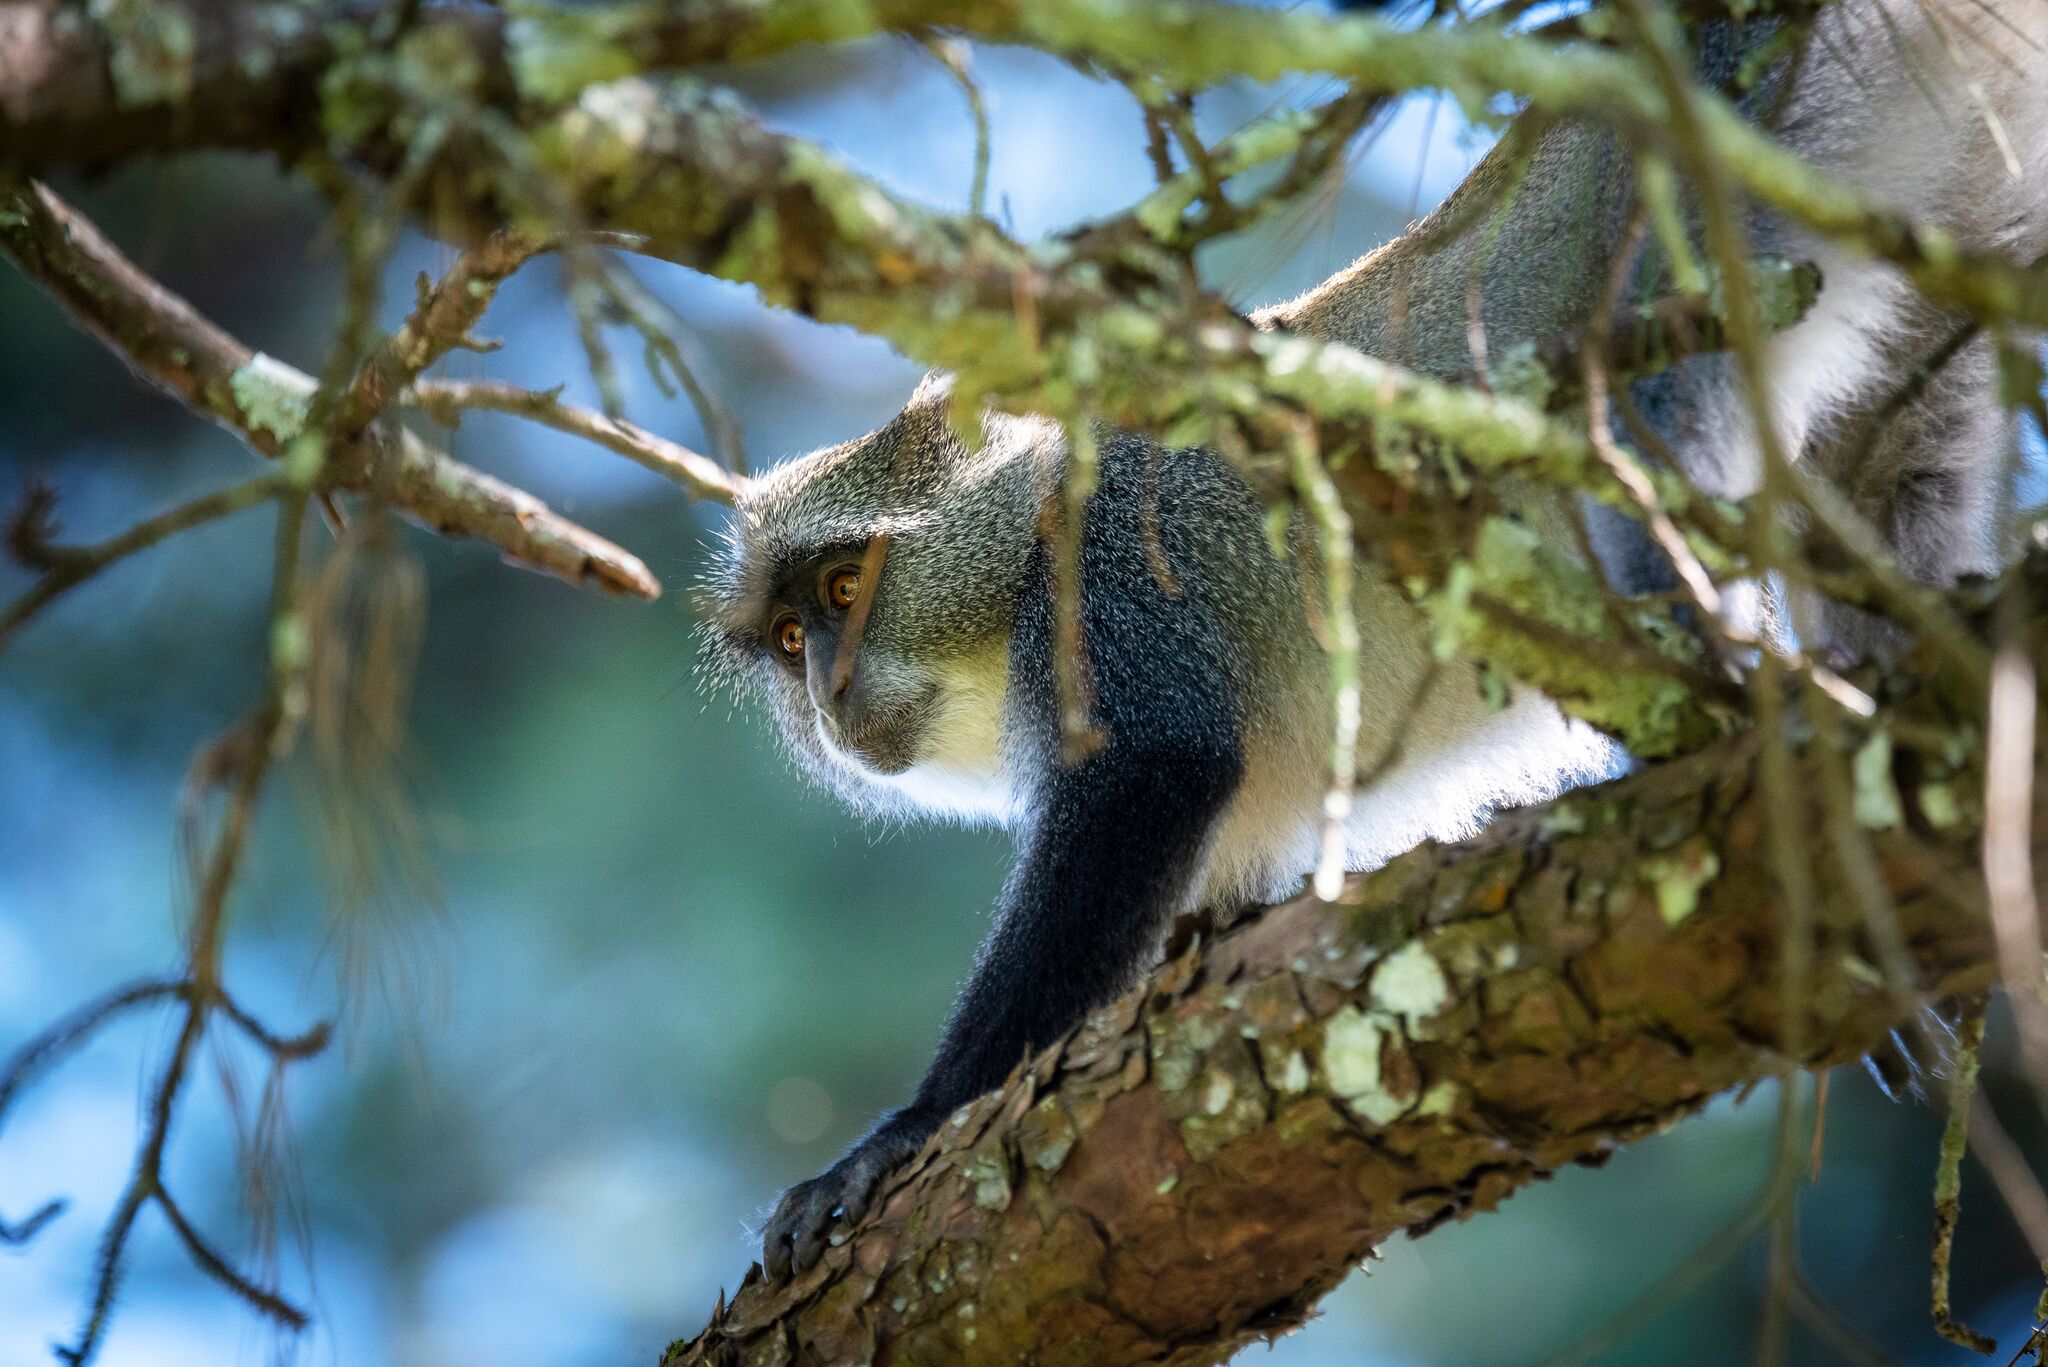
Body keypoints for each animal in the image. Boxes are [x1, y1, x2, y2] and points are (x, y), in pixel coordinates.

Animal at [700, 0, 2048, 1280]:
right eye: (787, 635)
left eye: (843, 586)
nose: (827, 699)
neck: (1031, 534)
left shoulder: (1117, 585)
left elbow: (1148, 778)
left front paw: (901, 1131)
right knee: (1891, 461)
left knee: (1648, 429)